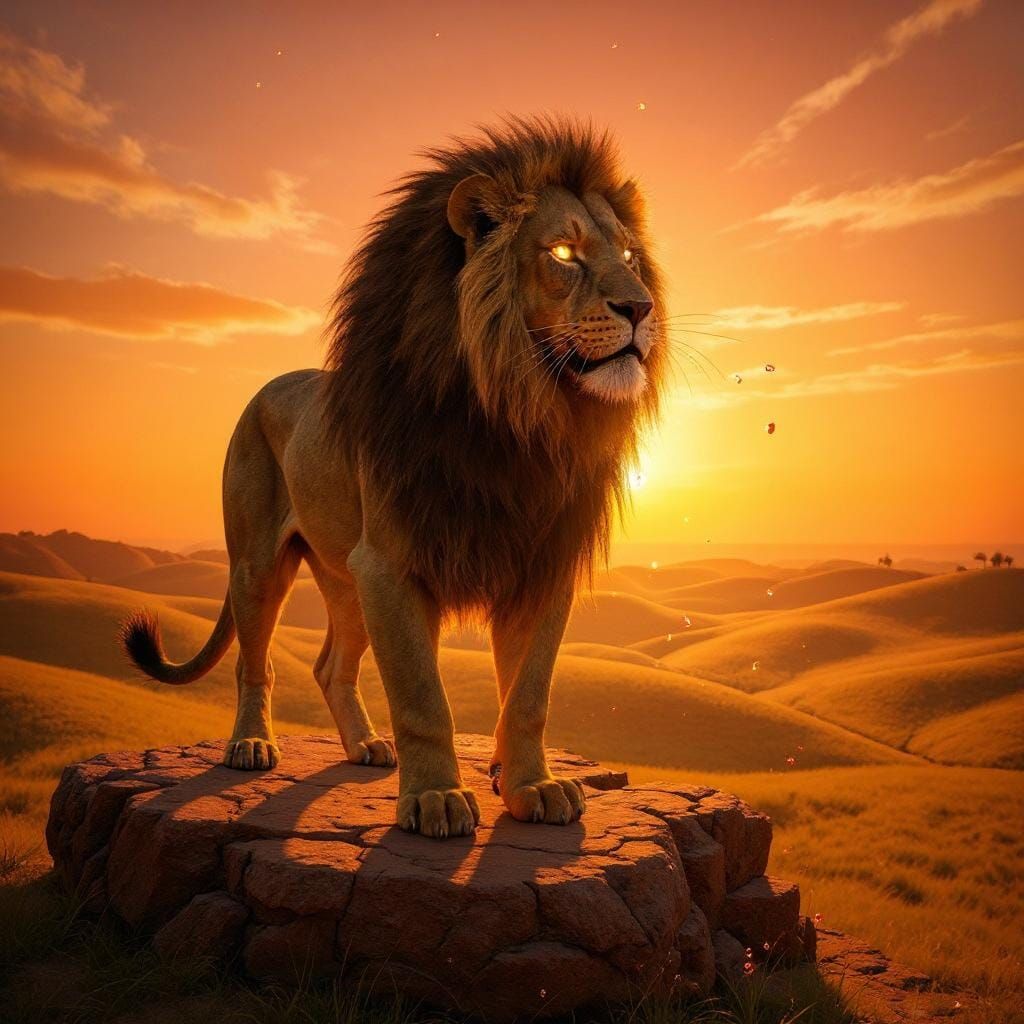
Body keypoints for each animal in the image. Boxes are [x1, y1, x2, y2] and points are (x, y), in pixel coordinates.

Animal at [120, 117, 667, 839]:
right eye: (562, 252)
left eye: (631, 256)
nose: (641, 308)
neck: (519, 417)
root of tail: (270, 383)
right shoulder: (394, 564)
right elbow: (422, 696)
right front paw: (435, 797)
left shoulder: (539, 566)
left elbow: (528, 696)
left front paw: (532, 788)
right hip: (260, 565)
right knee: (252, 663)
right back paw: (252, 745)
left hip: (347, 581)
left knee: (330, 667)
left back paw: (364, 746)